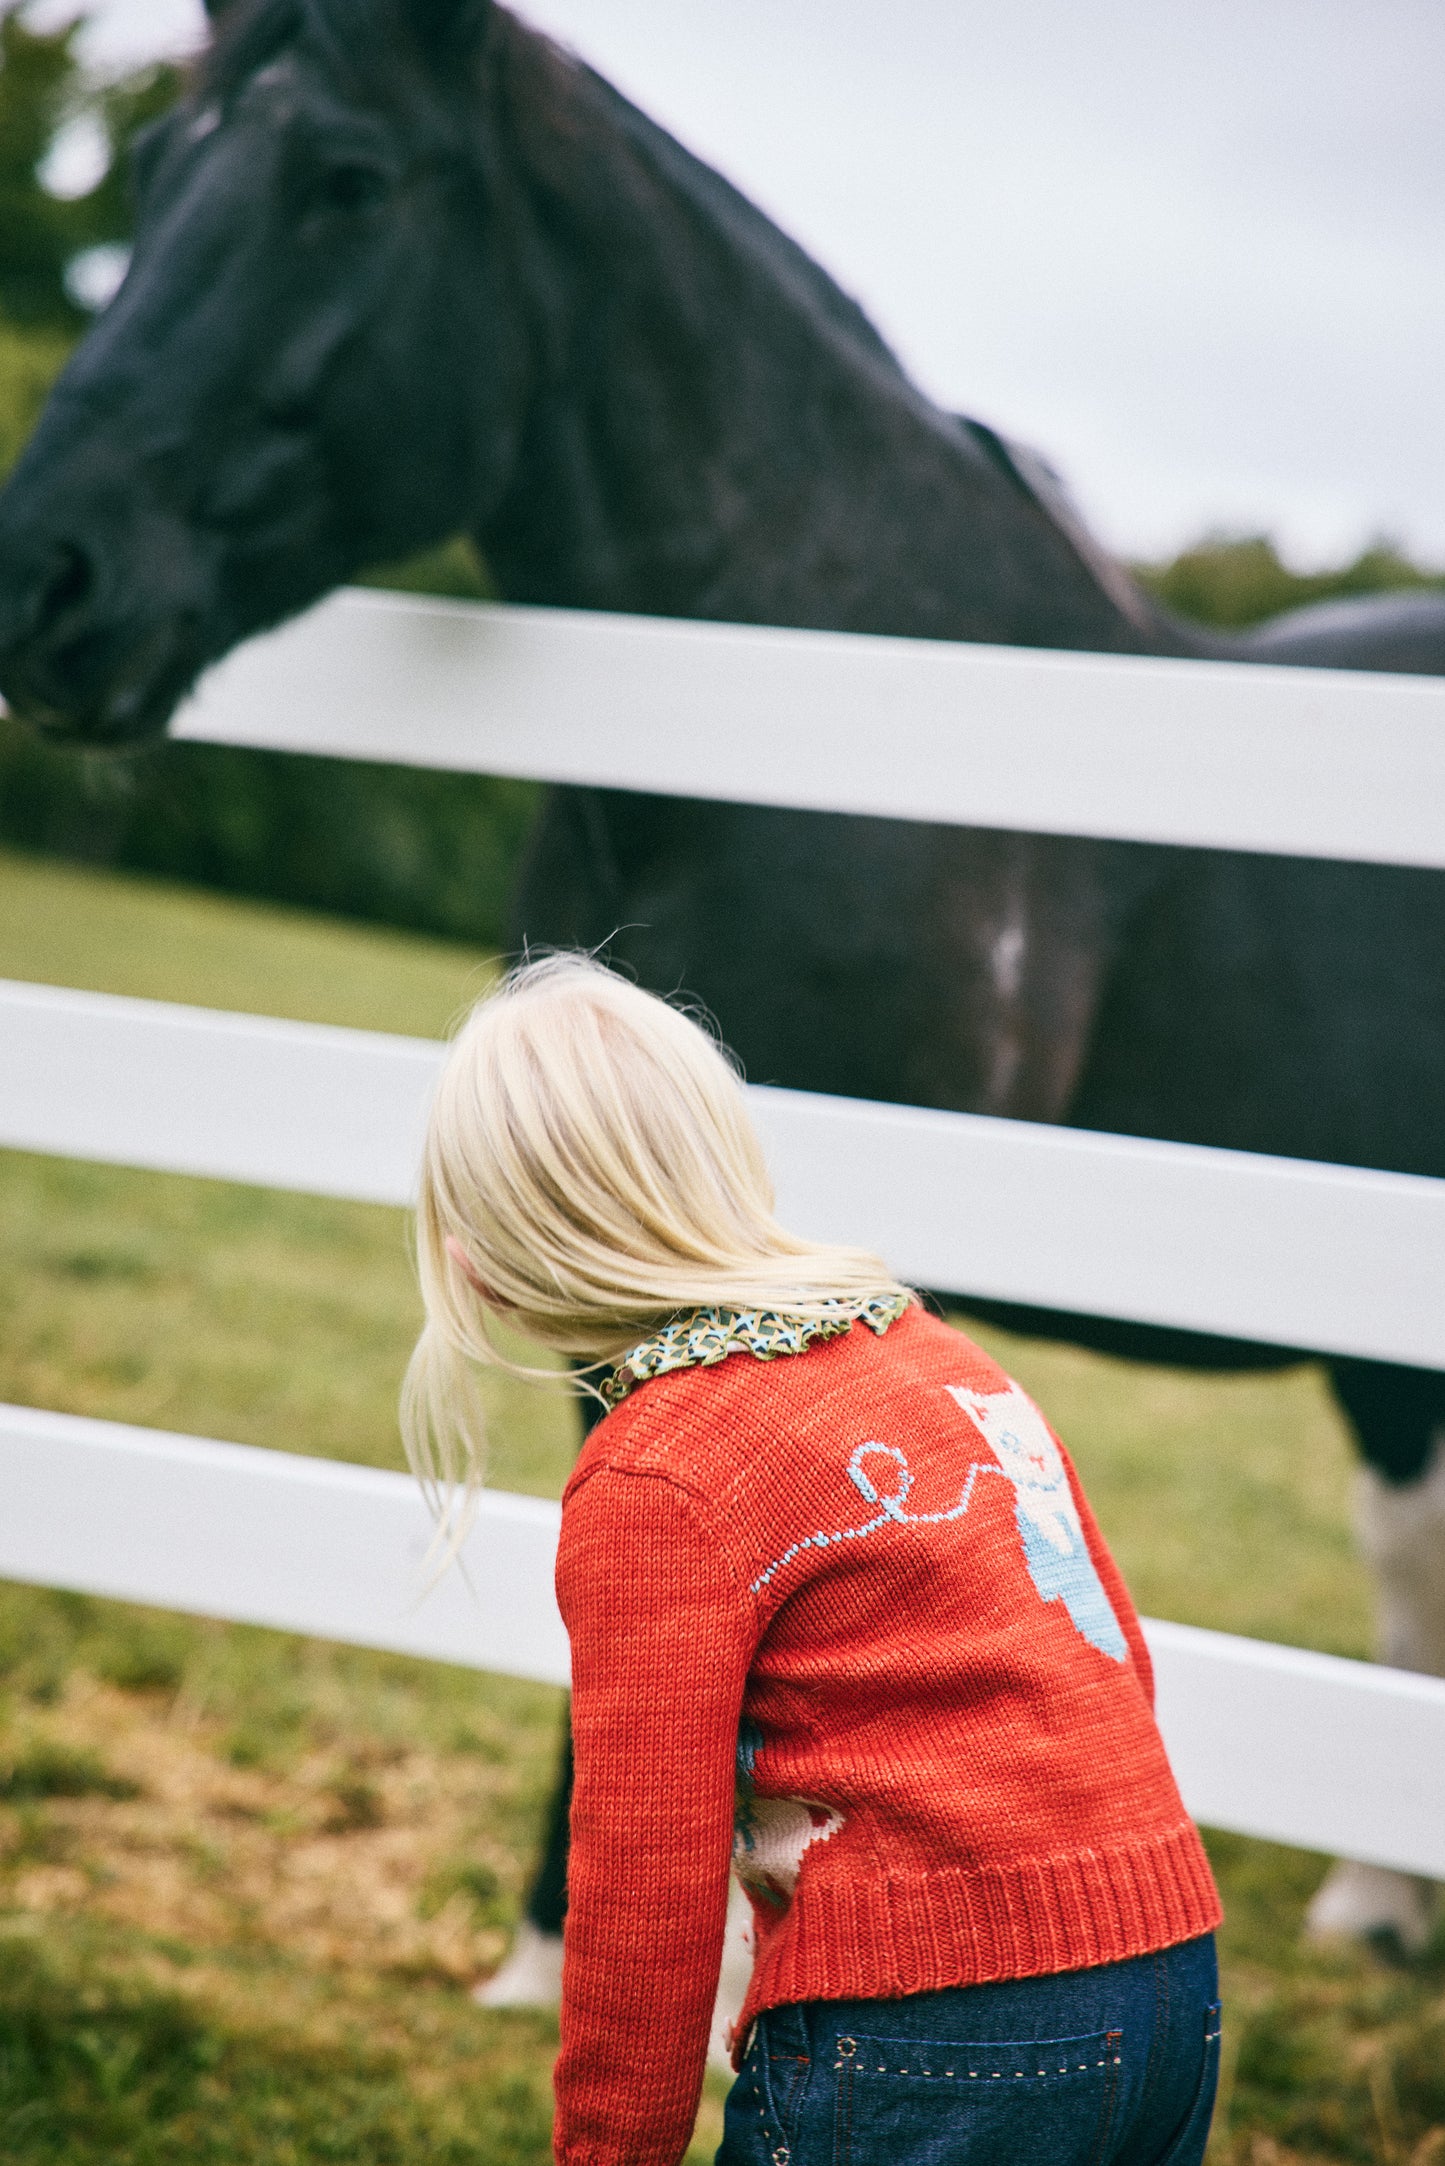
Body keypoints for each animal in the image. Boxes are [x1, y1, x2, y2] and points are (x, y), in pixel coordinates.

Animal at [2, 0, 1445, 1949]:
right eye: (153, 166)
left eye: (350, 184)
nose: (41, 580)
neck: (813, 717)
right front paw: (558, 1938)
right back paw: (1374, 1903)